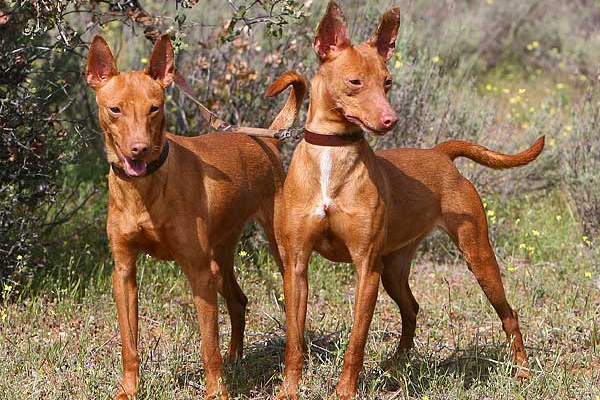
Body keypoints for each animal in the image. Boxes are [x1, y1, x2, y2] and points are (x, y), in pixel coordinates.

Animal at [86, 35, 308, 400]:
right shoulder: (124, 273)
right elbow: (129, 345)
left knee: (293, 308)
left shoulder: (199, 274)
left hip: (278, 253)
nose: (139, 149)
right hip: (221, 255)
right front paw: (128, 389)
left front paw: (216, 392)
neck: (144, 191)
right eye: (115, 109)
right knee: (238, 300)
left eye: (154, 108)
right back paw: (236, 358)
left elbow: (208, 346)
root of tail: (266, 141)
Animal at [276, 2, 544, 396]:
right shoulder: (296, 264)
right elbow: (294, 341)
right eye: (355, 82)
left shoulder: (366, 268)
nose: (392, 120)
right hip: (394, 268)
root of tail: (440, 153)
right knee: (412, 309)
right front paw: (289, 390)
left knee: (509, 314)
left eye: (387, 82)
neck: (332, 157)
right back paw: (395, 365)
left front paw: (344, 392)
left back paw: (522, 373)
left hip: (477, 257)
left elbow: (356, 341)